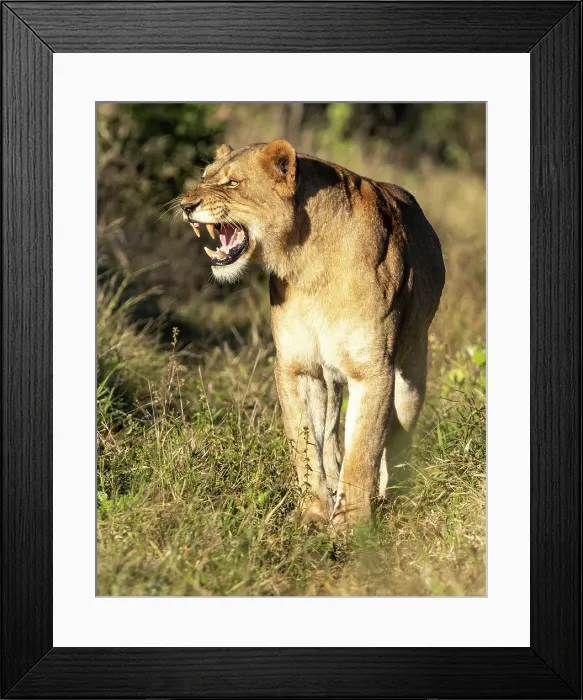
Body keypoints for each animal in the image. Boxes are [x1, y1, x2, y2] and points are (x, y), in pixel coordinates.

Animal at [181, 140, 445, 526]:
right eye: (205, 178)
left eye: (232, 183)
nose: (185, 205)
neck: (307, 264)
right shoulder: (299, 367)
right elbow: (306, 446)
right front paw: (315, 513)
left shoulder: (373, 369)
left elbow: (363, 450)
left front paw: (351, 525)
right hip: (330, 377)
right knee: (332, 436)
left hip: (411, 368)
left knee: (398, 432)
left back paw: (392, 493)